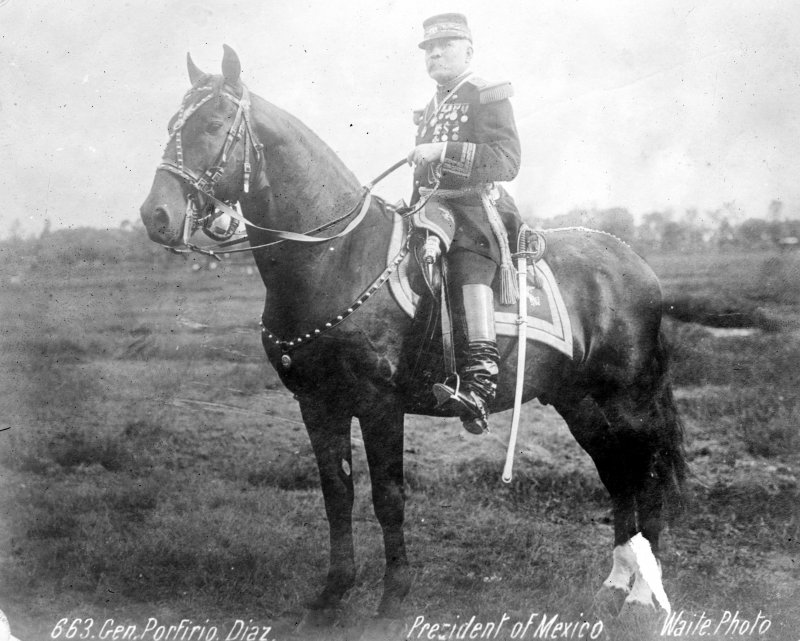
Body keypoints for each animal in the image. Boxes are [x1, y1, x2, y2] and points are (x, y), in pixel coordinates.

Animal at [141, 47, 684, 632]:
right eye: (170, 125)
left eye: (214, 124)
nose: (156, 216)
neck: (336, 257)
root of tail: (637, 263)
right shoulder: (318, 403)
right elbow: (337, 494)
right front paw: (332, 593)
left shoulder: (380, 404)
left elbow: (388, 497)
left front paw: (391, 598)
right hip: (579, 401)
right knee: (617, 473)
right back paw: (616, 583)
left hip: (627, 401)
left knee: (646, 474)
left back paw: (641, 596)